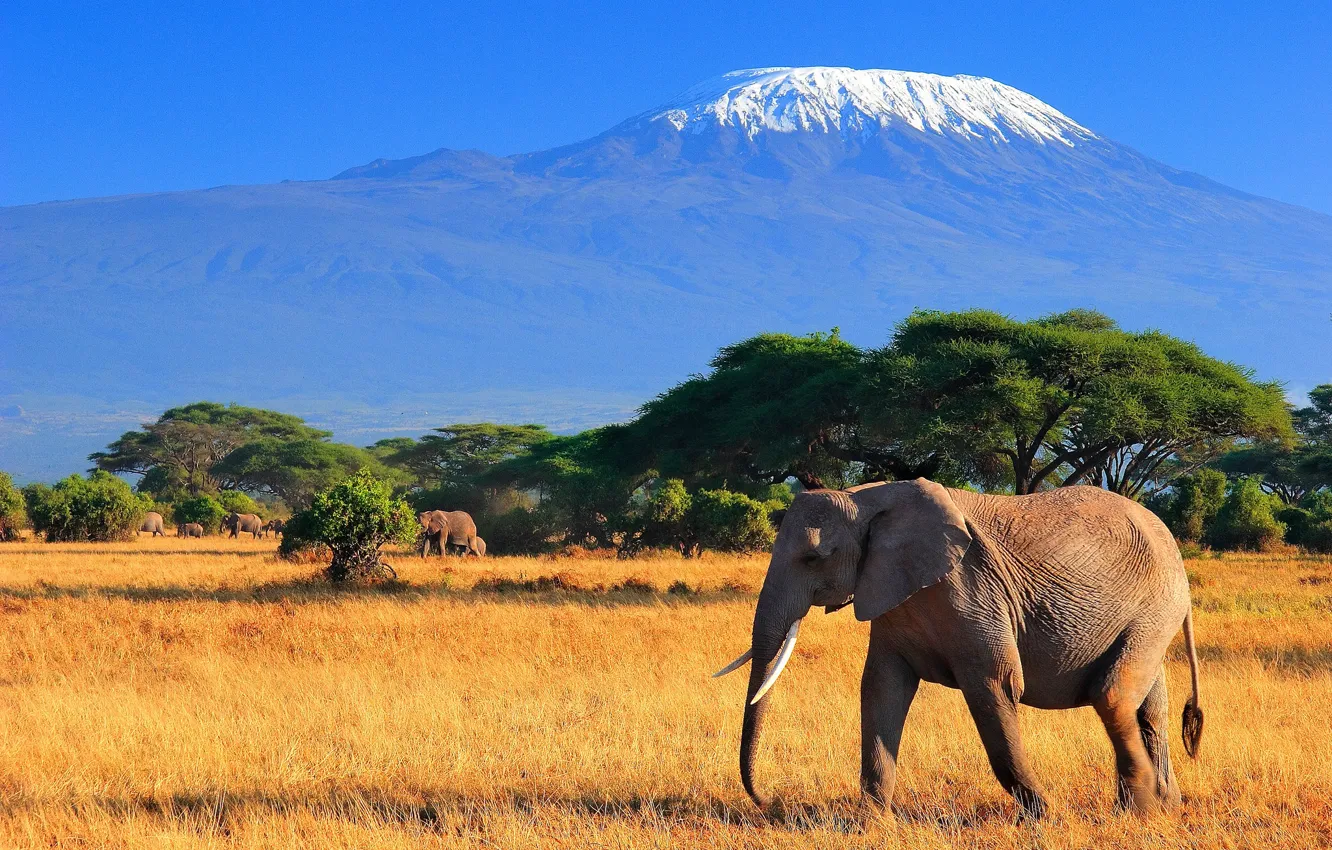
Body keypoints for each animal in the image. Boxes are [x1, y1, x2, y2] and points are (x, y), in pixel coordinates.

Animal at [714, 479, 1203, 822]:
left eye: (813, 558)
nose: (769, 800)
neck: (866, 499)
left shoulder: (972, 589)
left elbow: (994, 686)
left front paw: (1045, 816)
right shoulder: (892, 593)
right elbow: (882, 689)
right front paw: (869, 822)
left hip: (1156, 607)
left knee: (1113, 696)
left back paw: (1140, 810)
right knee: (1149, 708)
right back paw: (1163, 807)